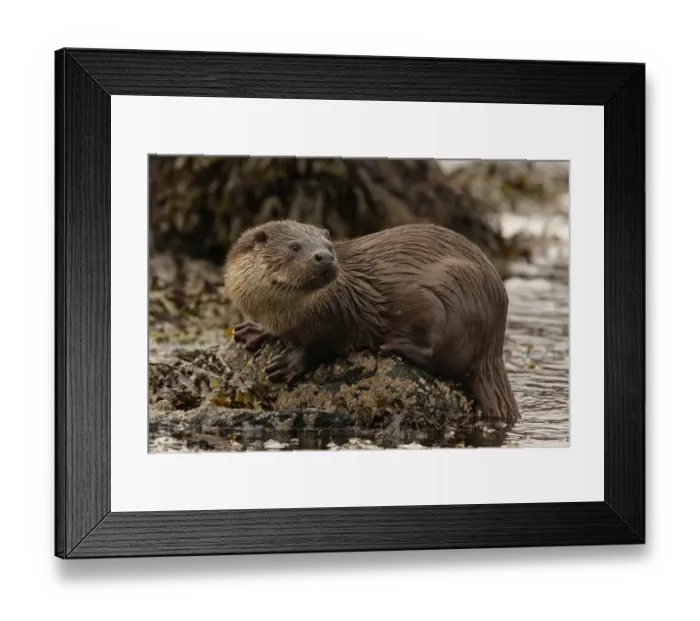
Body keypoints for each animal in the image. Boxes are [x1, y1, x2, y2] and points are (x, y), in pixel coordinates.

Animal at [224, 220, 520, 424]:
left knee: (436, 354)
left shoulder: (339, 314)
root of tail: (494, 345)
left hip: (450, 299)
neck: (279, 312)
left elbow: (321, 345)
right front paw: (255, 331)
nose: (324, 256)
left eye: (330, 248)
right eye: (294, 247)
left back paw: (392, 345)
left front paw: (289, 363)